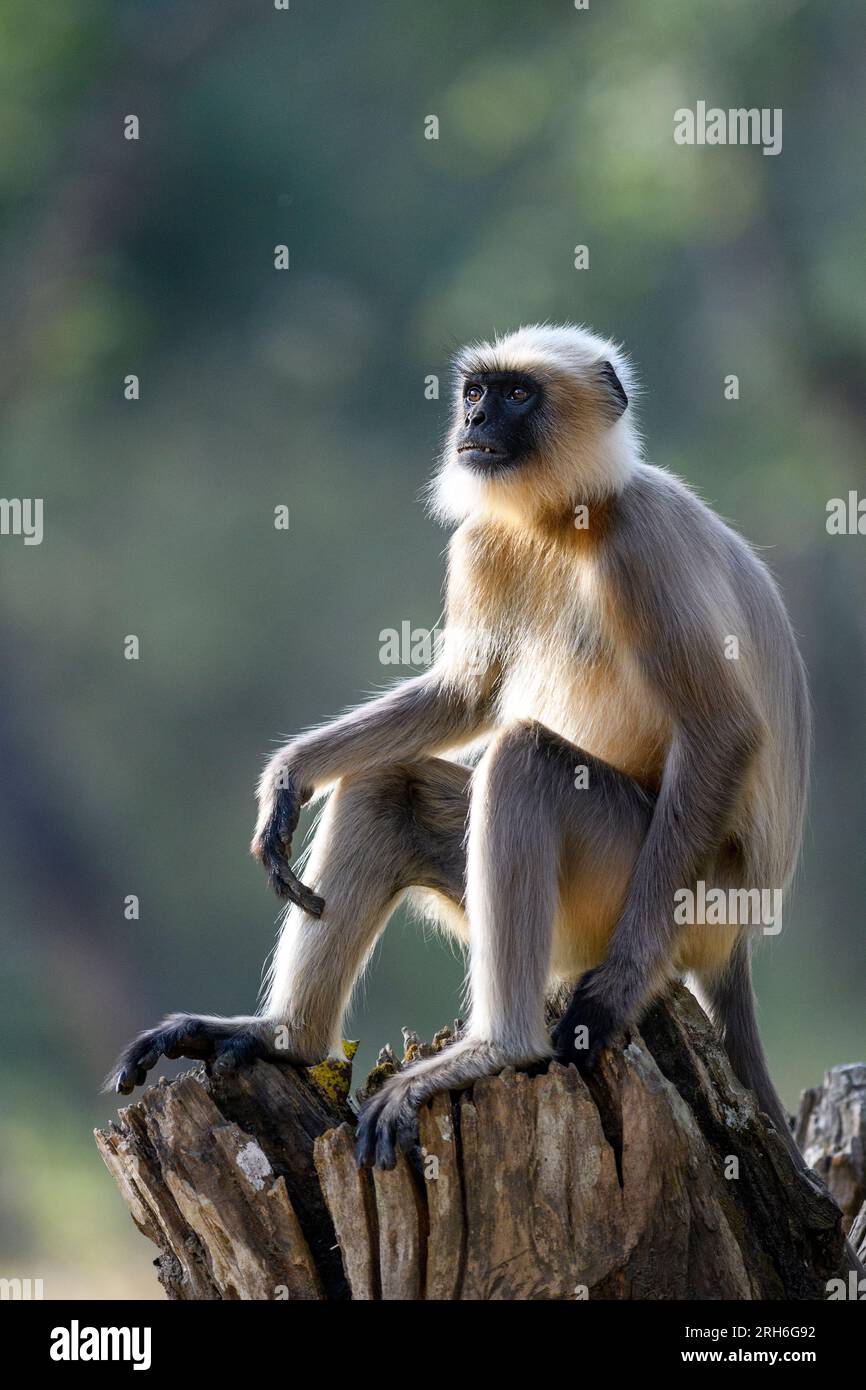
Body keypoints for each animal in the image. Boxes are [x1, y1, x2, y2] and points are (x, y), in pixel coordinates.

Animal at [109, 322, 811, 1173]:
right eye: (476, 392)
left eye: (517, 393)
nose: (474, 422)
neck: (567, 514)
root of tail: (737, 928)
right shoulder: (485, 540)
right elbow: (465, 695)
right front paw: (288, 778)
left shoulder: (643, 542)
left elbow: (722, 732)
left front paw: (613, 994)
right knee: (387, 784)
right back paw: (284, 1040)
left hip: (661, 890)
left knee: (525, 763)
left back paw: (501, 1048)